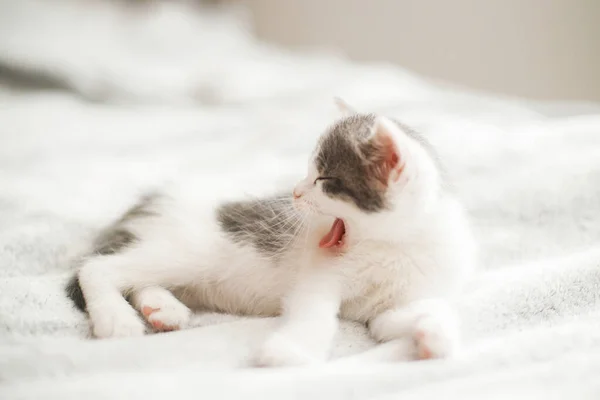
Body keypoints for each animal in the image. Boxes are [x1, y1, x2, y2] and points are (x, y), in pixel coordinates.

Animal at [67, 100, 478, 366]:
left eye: (323, 179)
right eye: (309, 173)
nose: (294, 192)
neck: (391, 243)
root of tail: (154, 196)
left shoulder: (401, 300)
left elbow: (416, 313)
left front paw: (436, 337)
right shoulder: (319, 277)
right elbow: (315, 312)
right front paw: (290, 352)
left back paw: (162, 309)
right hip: (190, 249)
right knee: (98, 267)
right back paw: (116, 318)